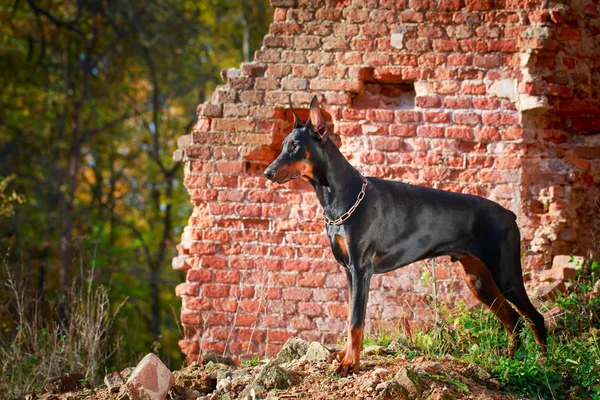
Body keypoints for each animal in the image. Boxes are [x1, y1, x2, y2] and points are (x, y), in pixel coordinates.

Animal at [264, 96, 548, 376]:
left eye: (294, 146)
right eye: (283, 146)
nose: (267, 172)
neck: (341, 197)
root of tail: (509, 214)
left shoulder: (361, 269)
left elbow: (356, 321)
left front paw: (350, 364)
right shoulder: (347, 271)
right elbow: (348, 317)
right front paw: (345, 356)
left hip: (505, 274)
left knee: (535, 317)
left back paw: (544, 365)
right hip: (478, 280)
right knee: (514, 320)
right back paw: (511, 363)